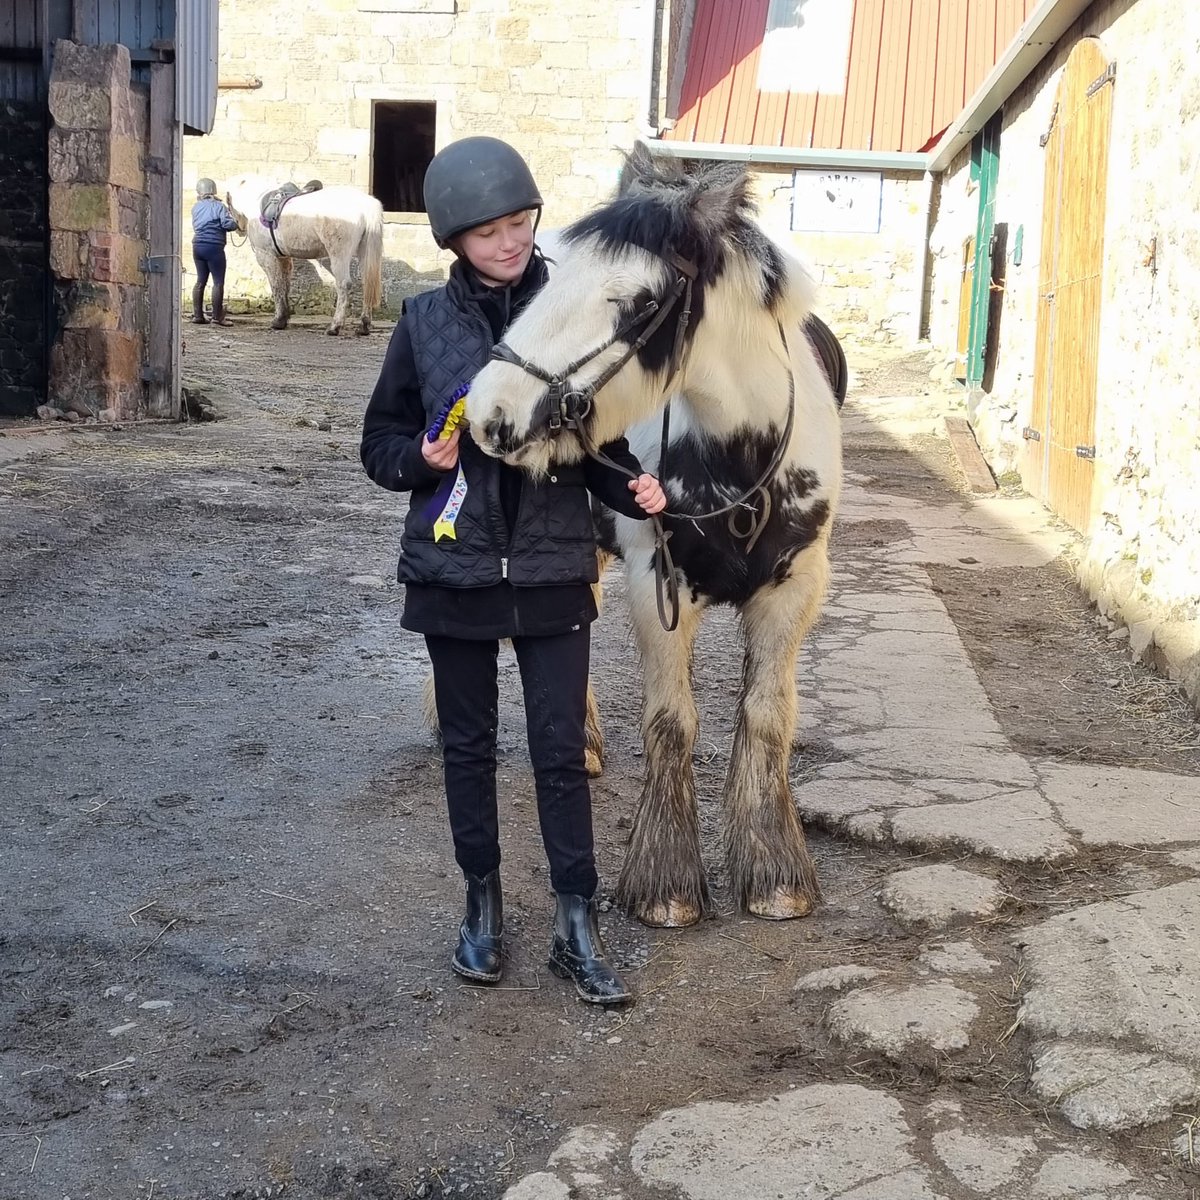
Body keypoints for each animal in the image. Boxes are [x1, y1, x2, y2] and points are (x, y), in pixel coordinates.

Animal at [224, 177, 384, 337]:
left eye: (228, 204)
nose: (239, 229)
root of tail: (366, 206)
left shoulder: (266, 256)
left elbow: (276, 286)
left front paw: (277, 321)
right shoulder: (284, 258)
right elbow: (285, 285)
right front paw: (283, 319)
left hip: (339, 254)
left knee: (344, 284)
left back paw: (334, 327)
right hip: (364, 252)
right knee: (367, 284)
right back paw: (364, 326)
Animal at [465, 144, 843, 929]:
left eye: (640, 303)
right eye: (552, 271)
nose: (489, 413)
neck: (741, 461)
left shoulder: (795, 591)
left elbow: (768, 715)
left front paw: (775, 876)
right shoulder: (657, 584)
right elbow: (672, 722)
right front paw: (666, 886)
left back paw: (581, 744)